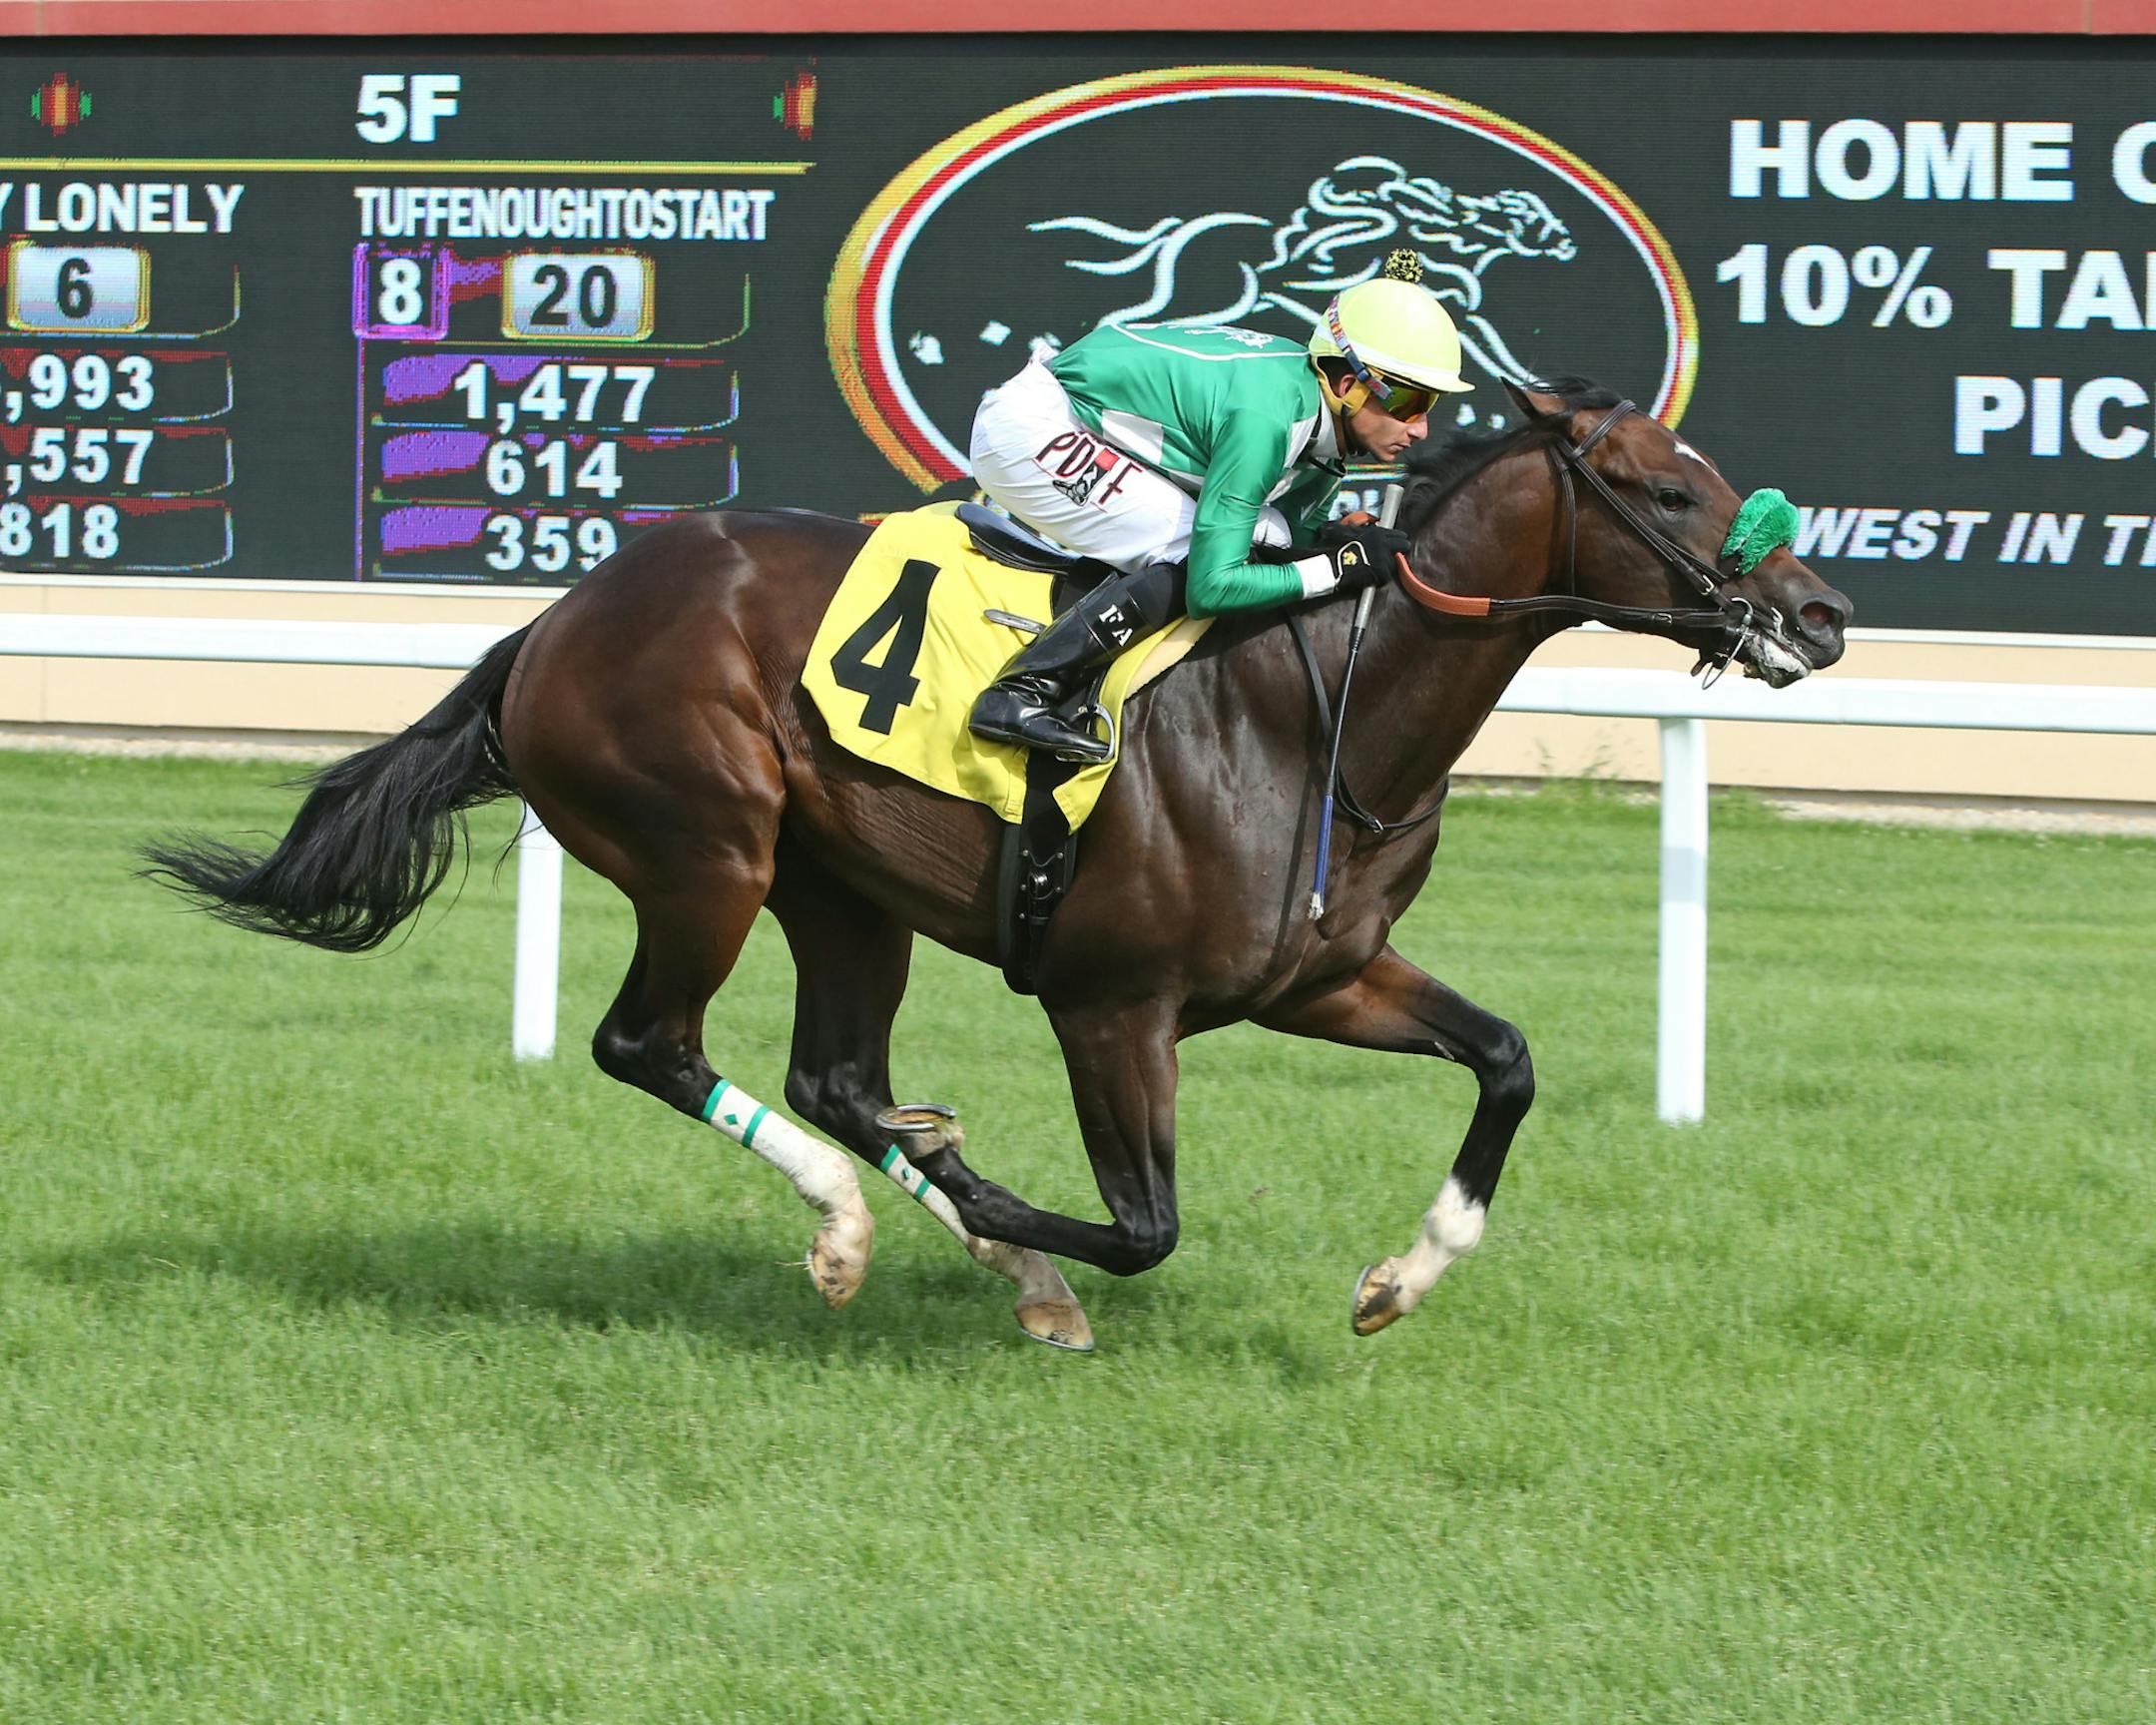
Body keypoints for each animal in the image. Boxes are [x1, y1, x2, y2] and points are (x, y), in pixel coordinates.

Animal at [143, 380, 1851, 1352]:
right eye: (1674, 488)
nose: (1821, 614)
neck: (1319, 707)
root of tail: (555, 622)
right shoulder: (1112, 1004)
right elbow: (1142, 1227)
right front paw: (1006, 1236)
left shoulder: (1324, 975)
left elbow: (1505, 1060)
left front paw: (1401, 1279)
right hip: (707, 848)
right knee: (653, 1044)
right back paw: (857, 1224)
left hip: (839, 891)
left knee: (831, 1072)